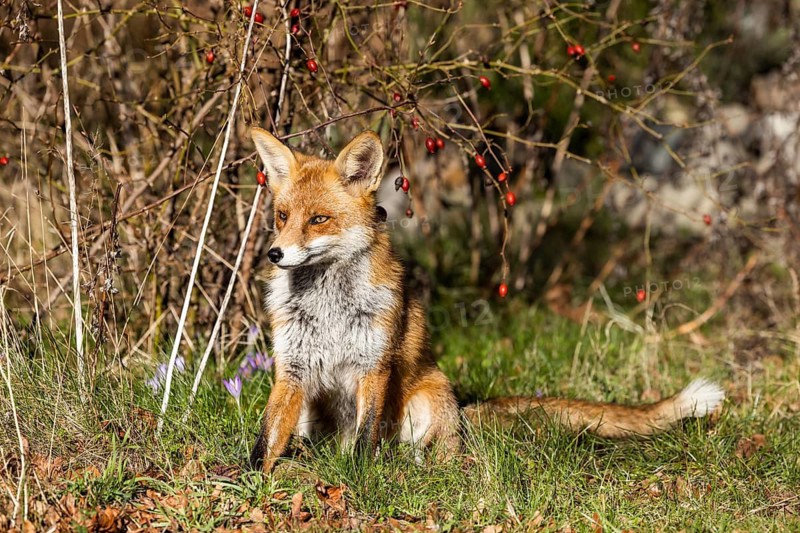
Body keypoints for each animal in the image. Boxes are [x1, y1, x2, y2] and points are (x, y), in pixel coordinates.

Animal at [247, 127, 725, 472]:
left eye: (319, 220)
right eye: (282, 217)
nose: (275, 254)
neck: (327, 304)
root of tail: (462, 409)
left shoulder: (373, 366)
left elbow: (365, 441)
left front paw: (356, 479)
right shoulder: (292, 368)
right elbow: (267, 438)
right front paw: (251, 482)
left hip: (428, 399)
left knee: (434, 453)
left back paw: (415, 465)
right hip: (315, 410)